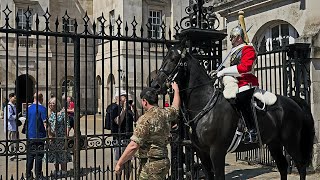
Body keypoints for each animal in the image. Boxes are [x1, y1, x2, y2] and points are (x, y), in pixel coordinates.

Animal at [151, 41, 316, 180]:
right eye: (164, 58)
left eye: (173, 59)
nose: (155, 85)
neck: (205, 105)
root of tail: (292, 101)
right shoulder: (202, 152)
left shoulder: (217, 152)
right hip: (273, 142)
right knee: (282, 166)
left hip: (290, 140)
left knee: (300, 165)